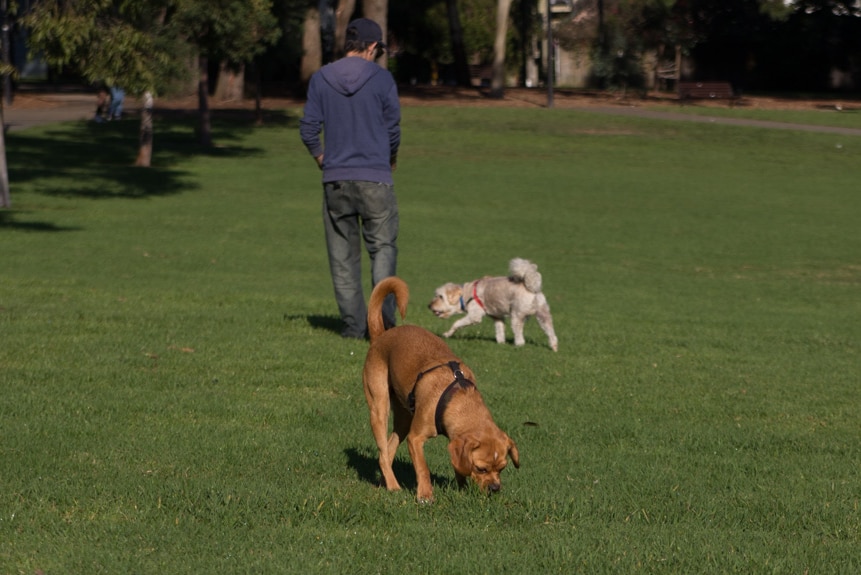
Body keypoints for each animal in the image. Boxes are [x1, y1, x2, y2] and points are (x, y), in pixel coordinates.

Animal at [362, 276, 516, 502]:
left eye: (502, 468)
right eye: (481, 469)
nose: (494, 489)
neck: (458, 396)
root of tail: (381, 335)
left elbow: (458, 466)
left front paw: (461, 489)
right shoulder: (415, 438)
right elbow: (423, 468)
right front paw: (425, 495)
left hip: (404, 418)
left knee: (387, 451)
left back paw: (385, 481)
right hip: (379, 407)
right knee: (382, 450)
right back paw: (393, 486)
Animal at [428, 258, 556, 354]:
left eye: (440, 296)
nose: (429, 306)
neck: (466, 294)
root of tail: (532, 288)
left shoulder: (474, 316)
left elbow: (456, 323)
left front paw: (447, 334)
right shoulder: (497, 317)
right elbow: (499, 331)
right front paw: (501, 343)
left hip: (517, 317)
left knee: (520, 338)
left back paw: (518, 347)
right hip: (544, 316)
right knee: (552, 335)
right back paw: (554, 348)